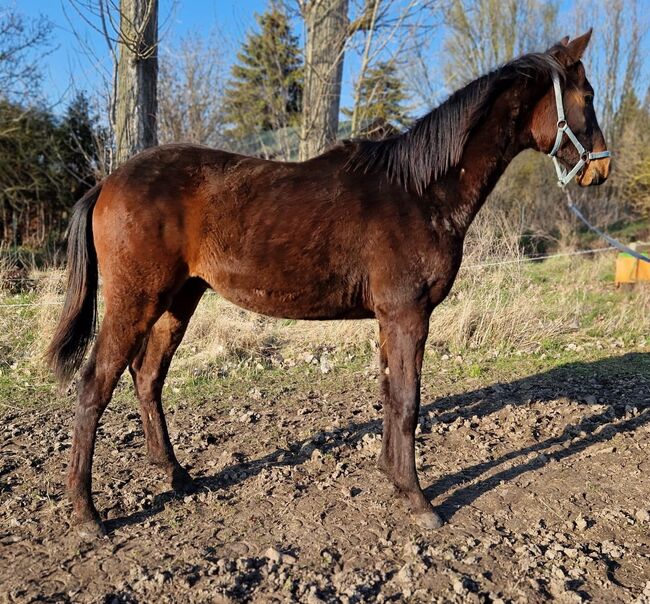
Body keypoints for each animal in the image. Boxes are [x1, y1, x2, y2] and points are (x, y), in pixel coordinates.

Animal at [46, 31, 608, 536]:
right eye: (587, 97)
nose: (599, 171)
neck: (421, 191)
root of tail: (108, 183)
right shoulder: (407, 315)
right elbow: (408, 402)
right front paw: (419, 502)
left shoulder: (390, 319)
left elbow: (391, 396)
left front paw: (393, 479)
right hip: (136, 300)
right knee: (96, 383)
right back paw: (87, 514)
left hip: (179, 300)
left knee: (147, 378)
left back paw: (176, 475)